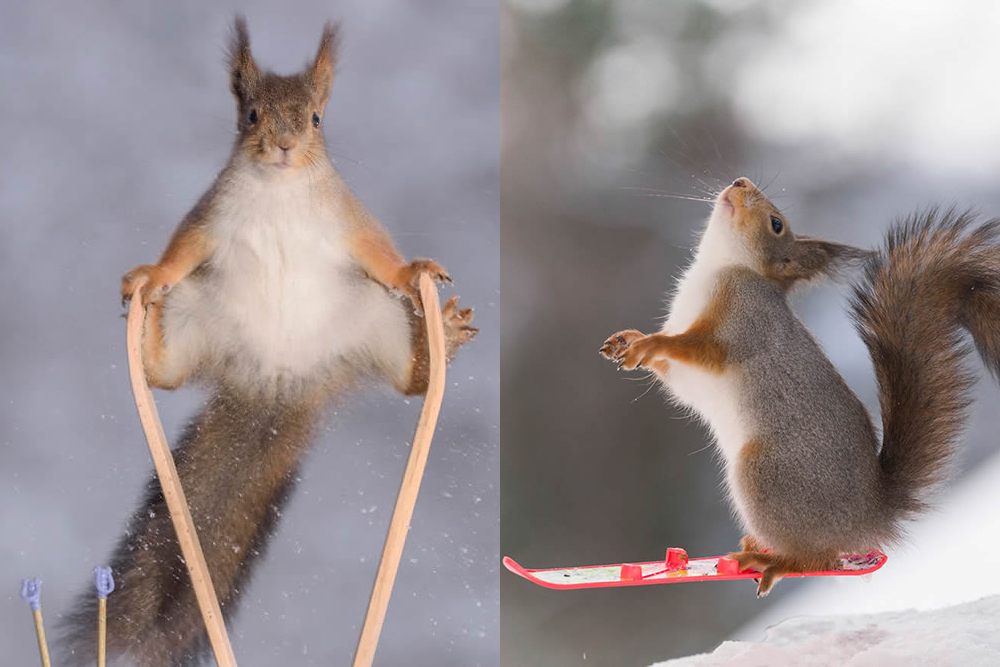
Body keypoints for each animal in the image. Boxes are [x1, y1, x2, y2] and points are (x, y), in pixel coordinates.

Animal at [60, 17, 478, 667]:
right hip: (195, 317)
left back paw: (440, 344)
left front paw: (417, 270)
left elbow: (382, 256)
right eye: (252, 115)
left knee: (410, 382)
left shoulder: (349, 219)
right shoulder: (208, 218)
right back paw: (147, 337)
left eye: (316, 119)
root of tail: (279, 382)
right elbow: (178, 253)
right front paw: (148, 274)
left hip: (376, 322)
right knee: (163, 375)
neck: (281, 188)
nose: (283, 147)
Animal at [596, 177, 1000, 600]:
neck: (721, 266)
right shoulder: (683, 371)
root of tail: (867, 518)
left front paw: (651, 343)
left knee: (817, 559)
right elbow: (671, 373)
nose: (740, 181)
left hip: (766, 475)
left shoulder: (743, 323)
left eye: (776, 224)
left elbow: (702, 350)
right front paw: (628, 340)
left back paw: (772, 561)